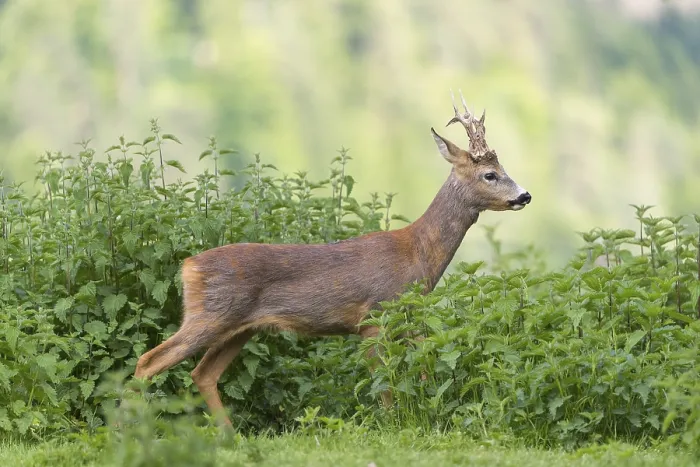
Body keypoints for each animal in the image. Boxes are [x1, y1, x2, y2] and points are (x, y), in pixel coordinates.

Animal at [133, 90, 532, 428]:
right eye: (490, 174)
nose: (525, 195)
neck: (417, 255)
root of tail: (187, 267)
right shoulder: (374, 315)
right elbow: (385, 384)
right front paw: (392, 425)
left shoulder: (409, 315)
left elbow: (424, 369)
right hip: (210, 313)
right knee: (148, 362)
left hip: (240, 327)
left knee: (202, 373)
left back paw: (230, 435)